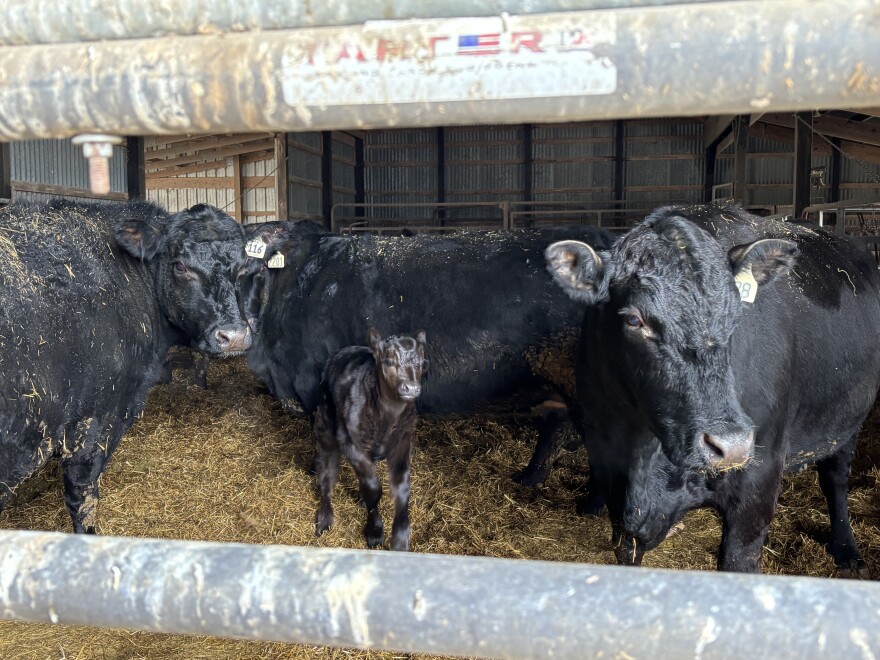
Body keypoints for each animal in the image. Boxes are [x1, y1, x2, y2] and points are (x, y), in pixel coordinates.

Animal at [314, 327, 428, 551]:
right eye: (388, 361)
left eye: (421, 362)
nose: (411, 387)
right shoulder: (350, 442)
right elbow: (373, 488)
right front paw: (375, 532)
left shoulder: (403, 442)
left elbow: (402, 487)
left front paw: (400, 540)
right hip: (326, 428)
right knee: (326, 474)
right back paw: (324, 518)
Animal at [545, 203, 880, 575]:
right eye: (634, 320)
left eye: (736, 316)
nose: (731, 445)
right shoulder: (609, 467)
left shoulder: (759, 477)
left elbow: (738, 561)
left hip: (848, 419)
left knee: (835, 478)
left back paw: (846, 550)